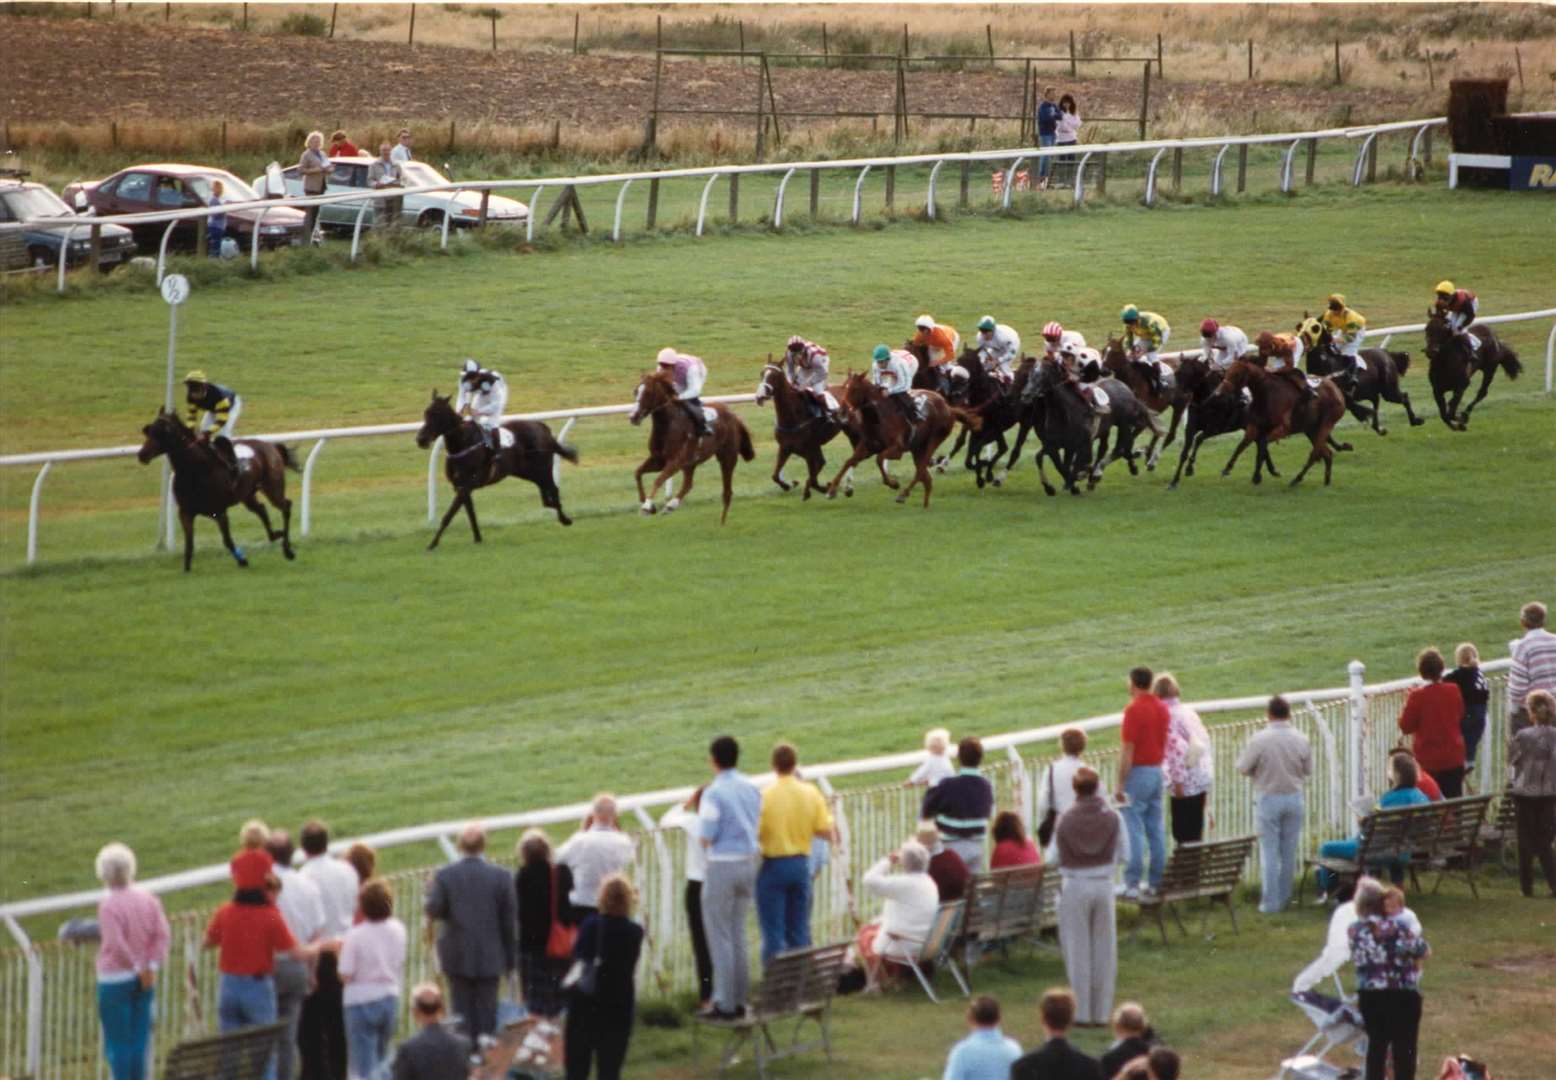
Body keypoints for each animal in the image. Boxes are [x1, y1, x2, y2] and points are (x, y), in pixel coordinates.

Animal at [140, 407, 300, 575]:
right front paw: (186, 570)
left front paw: (242, 560)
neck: (195, 470)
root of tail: (271, 446)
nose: (142, 454)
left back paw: (288, 549)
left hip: (272, 487)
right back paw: (276, 535)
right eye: (149, 430)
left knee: (286, 506)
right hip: (247, 494)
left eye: (164, 431)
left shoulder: (219, 511)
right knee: (261, 509)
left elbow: (227, 540)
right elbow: (189, 544)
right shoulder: (185, 512)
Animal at [413, 390, 578, 550]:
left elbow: (449, 515)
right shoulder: (460, 486)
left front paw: (432, 544)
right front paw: (477, 538)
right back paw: (553, 507)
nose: (421, 439)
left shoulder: (466, 485)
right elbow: (470, 512)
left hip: (543, 468)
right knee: (545, 492)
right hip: (527, 471)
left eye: (437, 414)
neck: (463, 444)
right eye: (426, 413)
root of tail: (542, 427)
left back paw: (565, 519)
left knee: (554, 489)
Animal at [628, 370, 756, 525]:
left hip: (727, 457)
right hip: (691, 463)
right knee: (688, 484)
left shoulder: (676, 461)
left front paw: (647, 507)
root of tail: (735, 416)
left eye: (648, 393)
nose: (633, 417)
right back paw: (671, 505)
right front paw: (647, 504)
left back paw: (721, 524)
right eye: (636, 391)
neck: (669, 425)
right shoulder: (658, 460)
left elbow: (658, 479)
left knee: (727, 492)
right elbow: (637, 473)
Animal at [827, 371, 970, 507]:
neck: (878, 417)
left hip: (933, 440)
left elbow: (879, 459)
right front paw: (832, 490)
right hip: (918, 449)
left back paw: (903, 494)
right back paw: (925, 505)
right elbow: (849, 461)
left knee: (921, 471)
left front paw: (893, 483)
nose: (841, 412)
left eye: (855, 388)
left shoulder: (897, 449)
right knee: (926, 477)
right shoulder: (868, 447)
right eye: (844, 387)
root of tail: (949, 407)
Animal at [1213, 361, 1350, 488]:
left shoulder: (1282, 428)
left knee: (1315, 454)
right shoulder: (1254, 427)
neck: (1266, 395)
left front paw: (1257, 476)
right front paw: (1227, 468)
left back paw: (1297, 479)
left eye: (1237, 374)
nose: (1218, 393)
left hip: (1325, 425)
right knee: (1327, 454)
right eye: (1227, 372)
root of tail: (1337, 390)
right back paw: (1326, 481)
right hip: (1311, 430)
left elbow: (1261, 445)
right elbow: (1242, 446)